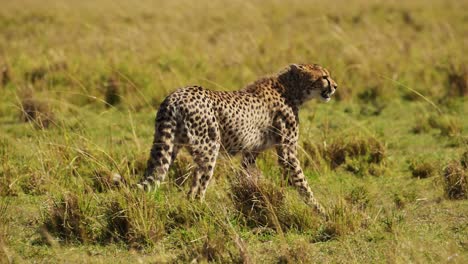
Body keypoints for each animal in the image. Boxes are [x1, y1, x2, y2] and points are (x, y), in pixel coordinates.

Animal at [137, 64, 338, 217]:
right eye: (324, 77)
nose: (335, 86)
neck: (291, 88)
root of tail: (174, 96)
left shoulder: (251, 151)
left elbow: (247, 176)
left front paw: (250, 200)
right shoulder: (288, 153)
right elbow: (302, 182)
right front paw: (321, 211)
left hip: (169, 147)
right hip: (209, 149)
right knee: (197, 186)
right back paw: (203, 212)